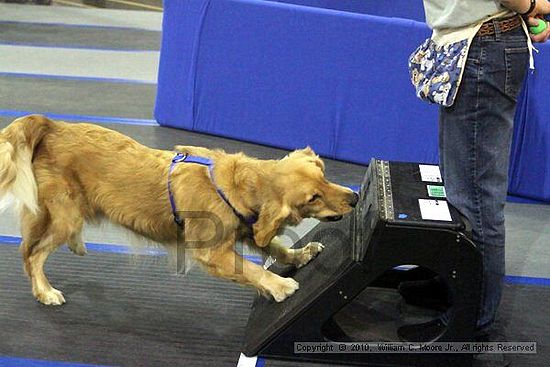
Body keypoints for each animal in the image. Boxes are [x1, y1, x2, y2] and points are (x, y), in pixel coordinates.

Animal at [0, 116, 360, 306]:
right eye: (313, 197)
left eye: (324, 176)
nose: (355, 197)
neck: (237, 184)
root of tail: (51, 125)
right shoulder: (212, 252)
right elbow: (251, 268)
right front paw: (279, 285)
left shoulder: (248, 228)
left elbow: (275, 246)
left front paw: (300, 255)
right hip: (64, 215)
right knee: (32, 254)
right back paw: (45, 291)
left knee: (29, 248)